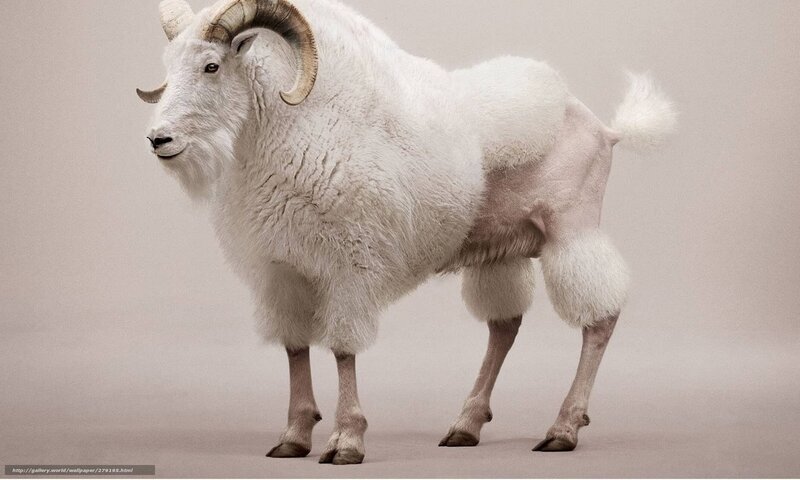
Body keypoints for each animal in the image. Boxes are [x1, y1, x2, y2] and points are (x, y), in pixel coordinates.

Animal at [137, 0, 676, 465]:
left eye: (212, 66)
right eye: (171, 65)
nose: (159, 139)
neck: (297, 127)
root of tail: (603, 128)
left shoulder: (348, 270)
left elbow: (344, 348)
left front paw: (346, 440)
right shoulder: (285, 274)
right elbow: (294, 349)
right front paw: (293, 437)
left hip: (573, 229)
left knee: (599, 319)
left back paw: (563, 428)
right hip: (504, 250)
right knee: (505, 326)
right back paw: (465, 425)